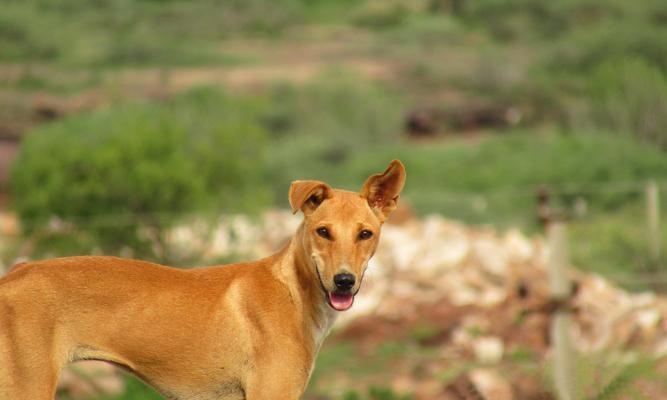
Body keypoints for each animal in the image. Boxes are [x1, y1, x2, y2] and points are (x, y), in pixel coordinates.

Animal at [0, 160, 408, 400]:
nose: (344, 281)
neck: (293, 290)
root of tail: (14, 273)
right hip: (26, 386)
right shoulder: (270, 393)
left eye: (365, 234)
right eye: (323, 231)